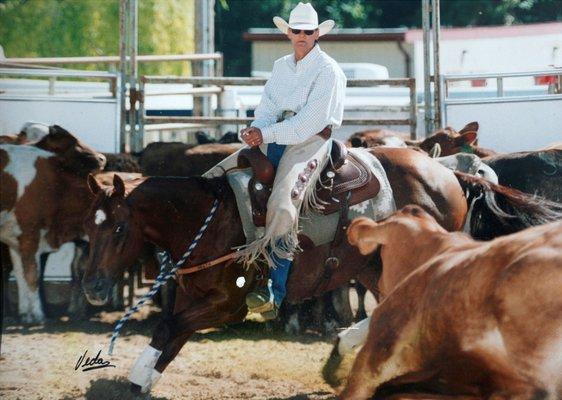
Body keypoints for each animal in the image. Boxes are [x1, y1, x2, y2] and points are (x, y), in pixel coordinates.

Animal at [0, 126, 105, 324]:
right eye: (73, 143)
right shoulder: (30, 234)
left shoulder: (15, 239)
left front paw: (25, 313)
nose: (102, 158)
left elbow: (20, 275)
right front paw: (37, 315)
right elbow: (32, 276)